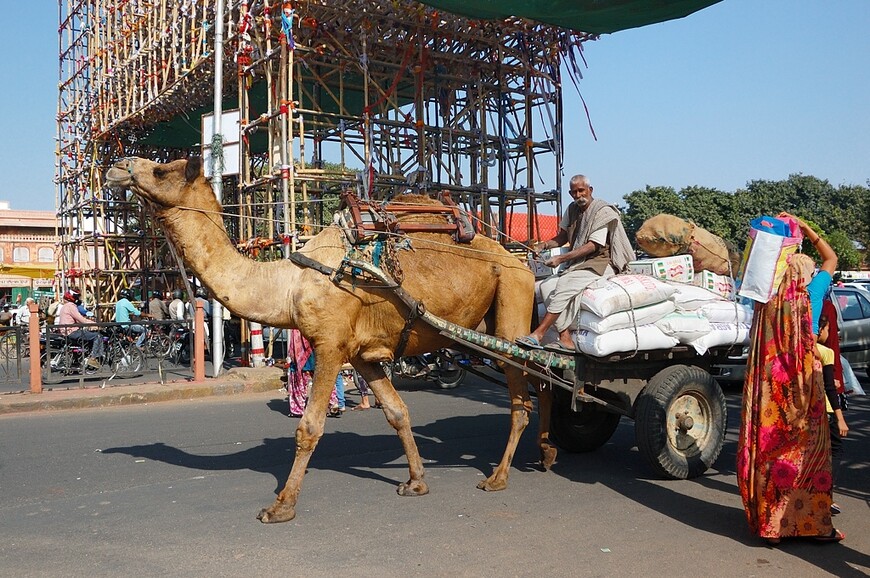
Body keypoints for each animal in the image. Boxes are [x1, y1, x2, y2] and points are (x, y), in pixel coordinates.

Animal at [107, 156, 560, 520]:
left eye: (160, 170)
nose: (117, 166)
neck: (289, 283)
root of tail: (524, 261)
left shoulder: (329, 345)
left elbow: (309, 426)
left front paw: (281, 505)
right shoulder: (361, 354)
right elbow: (397, 412)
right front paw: (416, 482)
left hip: (511, 304)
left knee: (524, 395)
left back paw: (499, 476)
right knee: (543, 381)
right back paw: (547, 453)